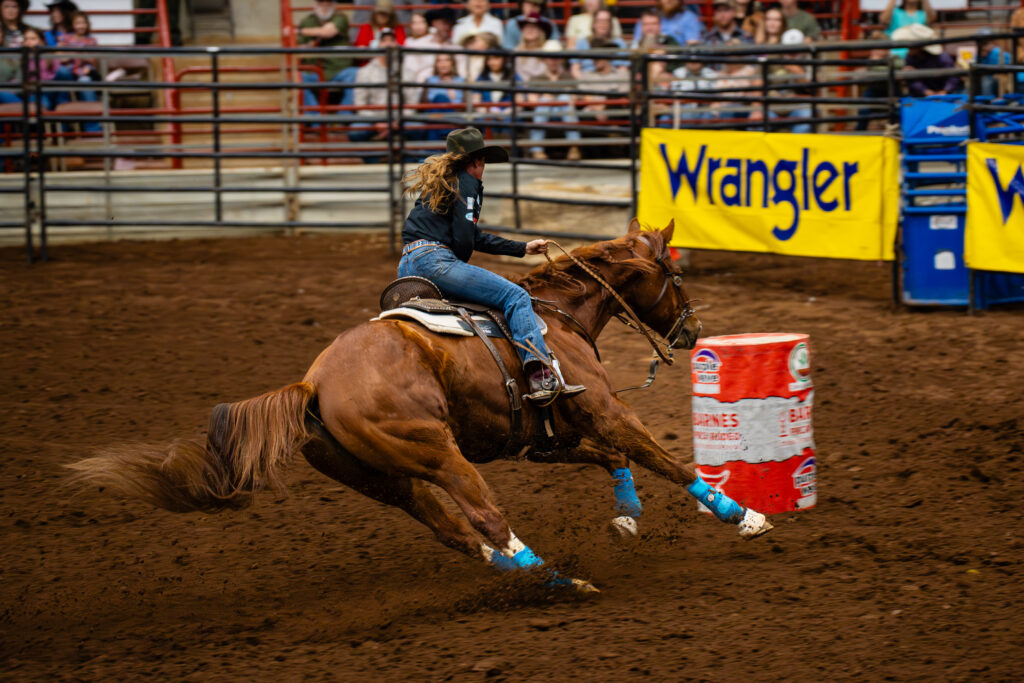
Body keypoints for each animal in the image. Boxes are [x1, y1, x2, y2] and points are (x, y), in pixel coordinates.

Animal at [69, 219, 773, 592]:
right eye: (676, 274)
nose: (692, 331)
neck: (555, 315)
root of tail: (313, 385)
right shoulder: (601, 409)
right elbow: (662, 459)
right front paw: (743, 517)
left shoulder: (547, 439)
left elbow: (613, 459)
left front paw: (627, 517)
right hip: (435, 451)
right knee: (483, 516)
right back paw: (554, 580)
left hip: (380, 477)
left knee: (450, 527)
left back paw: (512, 570)